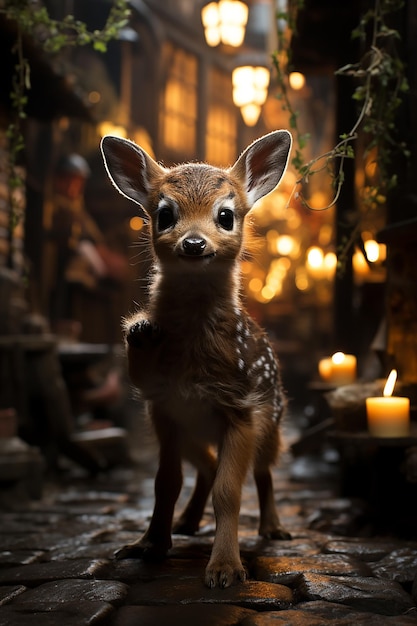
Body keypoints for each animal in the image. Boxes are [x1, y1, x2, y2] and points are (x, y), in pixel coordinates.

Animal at [99, 129, 290, 588]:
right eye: (165, 214)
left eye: (226, 216)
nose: (194, 242)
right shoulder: (162, 405)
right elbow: (165, 484)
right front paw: (148, 545)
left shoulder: (241, 407)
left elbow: (229, 492)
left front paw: (225, 568)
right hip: (190, 431)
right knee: (204, 467)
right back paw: (186, 523)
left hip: (271, 423)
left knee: (262, 472)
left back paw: (274, 528)